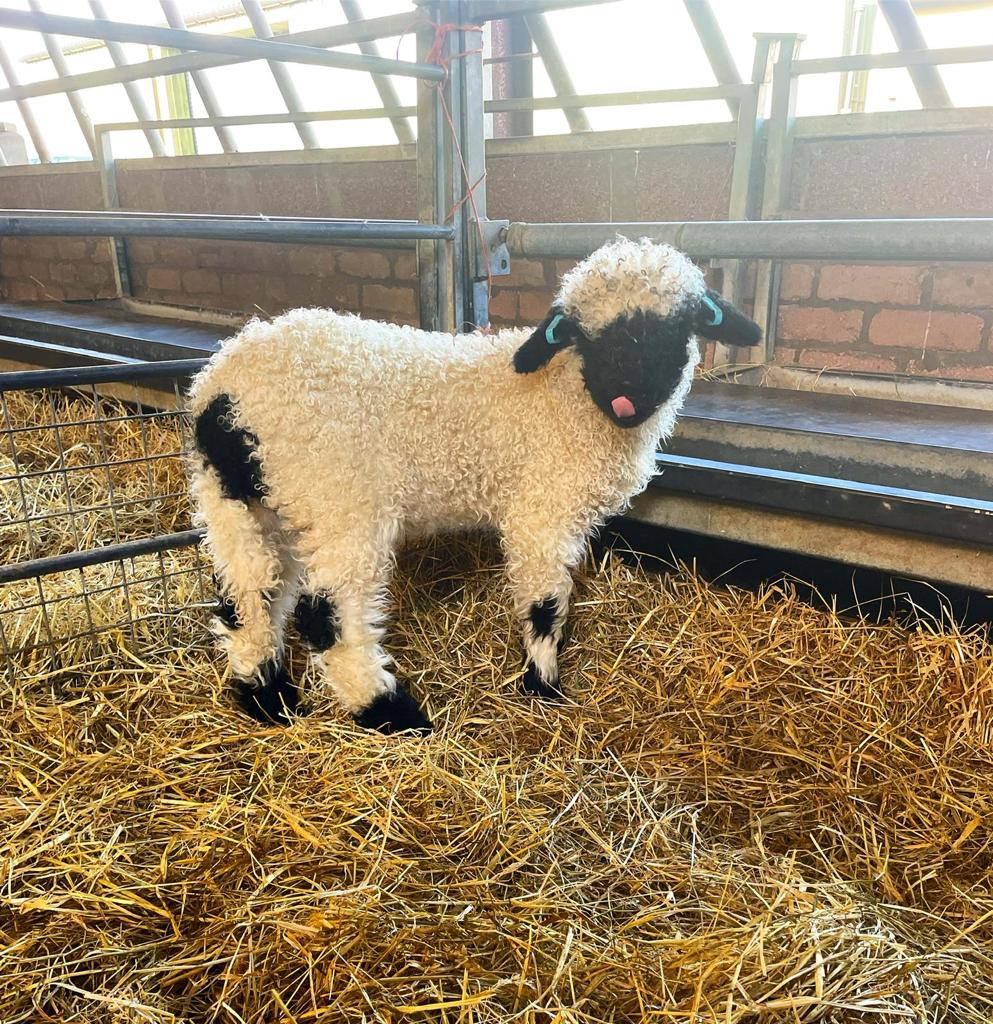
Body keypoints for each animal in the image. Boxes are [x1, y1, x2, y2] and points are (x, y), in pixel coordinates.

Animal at [186, 237, 760, 734]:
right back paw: (390, 712)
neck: (569, 397)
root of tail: (222, 397)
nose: (627, 396)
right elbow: (545, 605)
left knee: (247, 598)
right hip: (340, 498)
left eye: (677, 327)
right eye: (583, 335)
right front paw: (543, 687)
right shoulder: (541, 512)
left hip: (245, 505)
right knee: (326, 613)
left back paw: (267, 698)